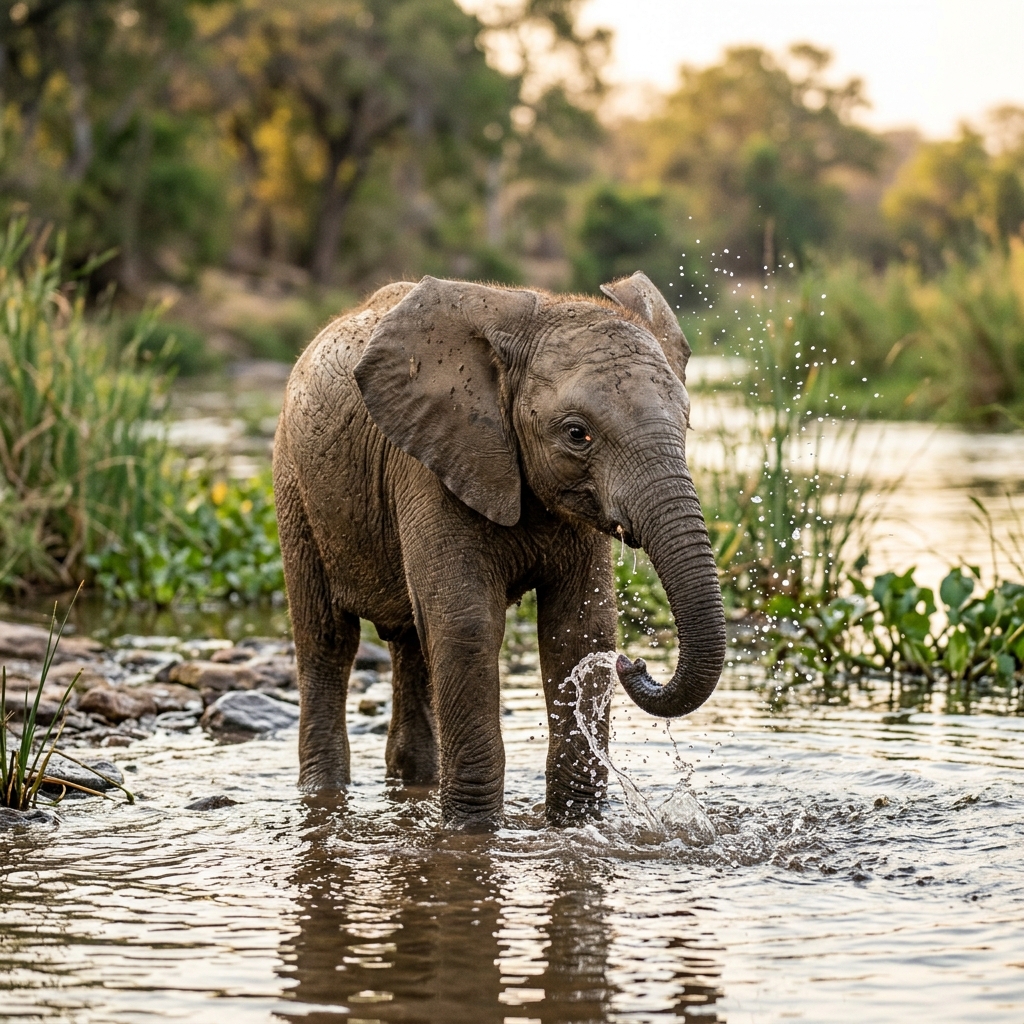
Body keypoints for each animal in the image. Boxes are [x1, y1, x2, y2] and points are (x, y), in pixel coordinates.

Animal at [273, 271, 726, 827]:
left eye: (686, 423)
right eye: (577, 434)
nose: (634, 665)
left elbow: (580, 629)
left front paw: (576, 824)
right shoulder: (428, 464)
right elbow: (467, 626)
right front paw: (471, 831)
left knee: (412, 643)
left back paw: (413, 783)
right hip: (295, 488)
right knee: (328, 641)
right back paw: (324, 792)